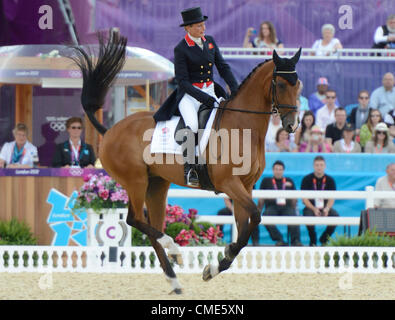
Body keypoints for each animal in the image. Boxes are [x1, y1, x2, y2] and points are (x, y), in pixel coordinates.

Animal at [71, 31, 302, 294]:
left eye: (298, 84)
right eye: (281, 84)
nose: (292, 125)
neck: (243, 127)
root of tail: (110, 131)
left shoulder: (246, 185)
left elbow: (246, 227)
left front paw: (215, 266)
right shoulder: (229, 183)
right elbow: (255, 216)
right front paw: (221, 258)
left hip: (156, 185)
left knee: (151, 227)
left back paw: (174, 279)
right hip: (135, 181)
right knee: (134, 219)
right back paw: (174, 249)